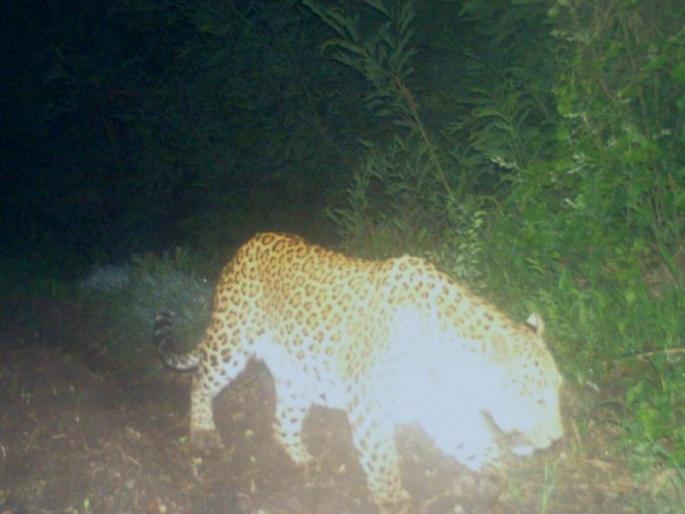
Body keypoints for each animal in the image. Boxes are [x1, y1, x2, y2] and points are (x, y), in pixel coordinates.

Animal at [154, 232, 564, 513]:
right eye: (537, 397)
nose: (558, 439)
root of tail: (251, 242)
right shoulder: (371, 404)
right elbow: (383, 463)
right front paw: (395, 502)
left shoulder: (442, 406)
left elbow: (477, 446)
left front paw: (491, 481)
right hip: (231, 340)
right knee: (201, 381)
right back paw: (203, 432)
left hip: (298, 372)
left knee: (282, 422)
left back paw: (304, 460)